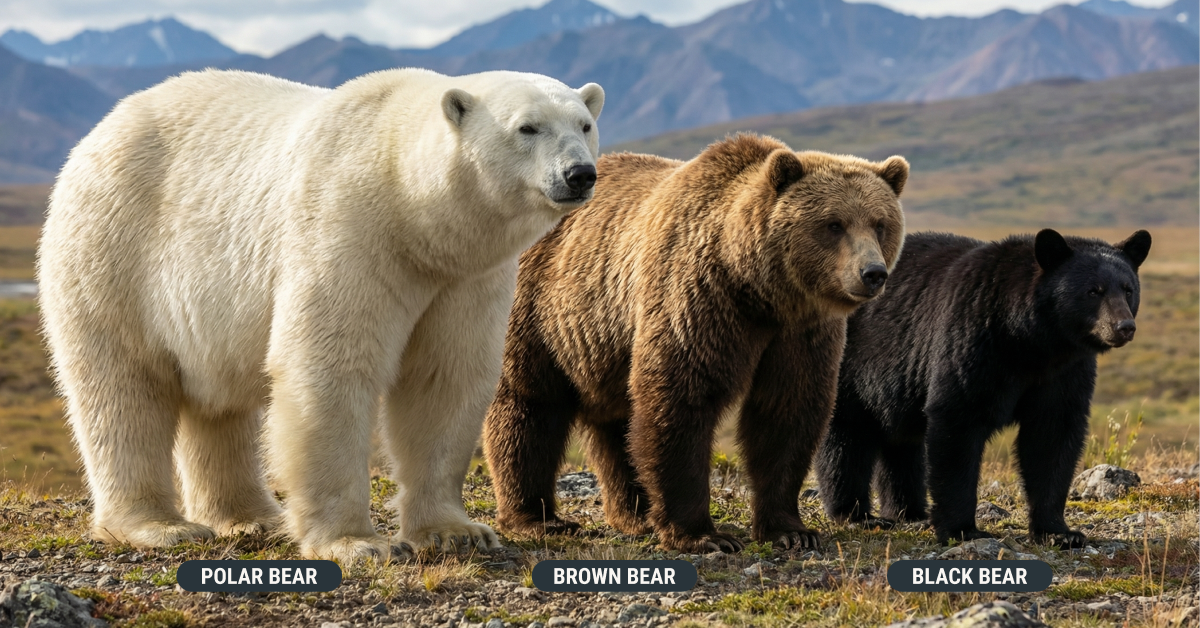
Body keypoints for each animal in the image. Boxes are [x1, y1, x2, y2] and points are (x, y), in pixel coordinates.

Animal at [37, 68, 605, 563]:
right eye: (527, 127)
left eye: (584, 124)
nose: (579, 174)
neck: (411, 210)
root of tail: (102, 129)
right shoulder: (348, 230)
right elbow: (331, 369)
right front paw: (358, 543)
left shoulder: (466, 278)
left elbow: (443, 379)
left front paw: (457, 532)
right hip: (113, 252)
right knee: (122, 389)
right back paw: (158, 526)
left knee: (218, 405)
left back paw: (251, 517)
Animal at [482, 134, 909, 553]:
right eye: (833, 223)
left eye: (880, 223)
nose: (872, 272)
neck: (759, 290)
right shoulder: (699, 298)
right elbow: (682, 398)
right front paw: (704, 535)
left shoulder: (800, 333)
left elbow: (787, 411)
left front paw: (791, 531)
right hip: (541, 311)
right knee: (529, 406)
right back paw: (538, 519)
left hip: (604, 342)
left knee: (617, 421)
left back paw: (635, 515)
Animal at [816, 229, 1151, 547]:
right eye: (1093, 290)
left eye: (1128, 289)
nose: (1124, 327)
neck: (1033, 343)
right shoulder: (974, 339)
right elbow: (958, 420)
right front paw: (963, 529)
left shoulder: (1065, 371)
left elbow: (1053, 437)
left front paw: (1059, 533)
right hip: (850, 360)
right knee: (846, 437)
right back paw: (857, 515)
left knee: (902, 440)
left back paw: (910, 512)